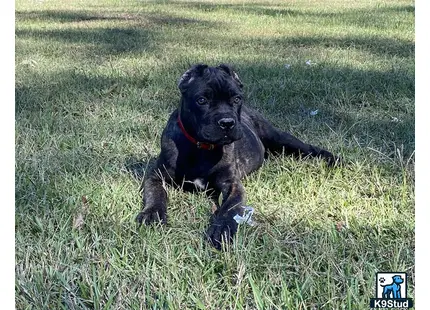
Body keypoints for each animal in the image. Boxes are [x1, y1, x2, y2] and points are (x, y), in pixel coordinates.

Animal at [137, 63, 340, 249]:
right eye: (201, 100)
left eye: (236, 99)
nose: (227, 122)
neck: (201, 148)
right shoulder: (156, 176)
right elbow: (156, 194)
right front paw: (152, 214)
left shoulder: (232, 184)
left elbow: (230, 208)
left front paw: (222, 230)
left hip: (279, 137)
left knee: (307, 148)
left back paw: (332, 158)